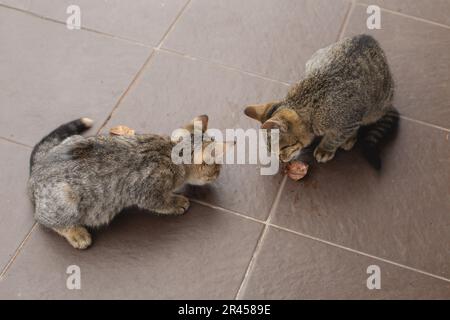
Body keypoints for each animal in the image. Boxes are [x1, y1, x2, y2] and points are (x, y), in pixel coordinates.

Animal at [28, 115, 225, 250]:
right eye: (216, 167)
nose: (219, 172)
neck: (169, 151)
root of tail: (35, 173)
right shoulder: (149, 191)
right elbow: (161, 203)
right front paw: (177, 202)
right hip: (66, 200)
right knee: (43, 219)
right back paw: (76, 233)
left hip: (73, 139)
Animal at [244, 34, 400, 170]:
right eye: (270, 150)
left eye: (284, 147)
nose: (281, 160)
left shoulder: (350, 119)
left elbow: (335, 137)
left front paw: (326, 149)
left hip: (375, 108)